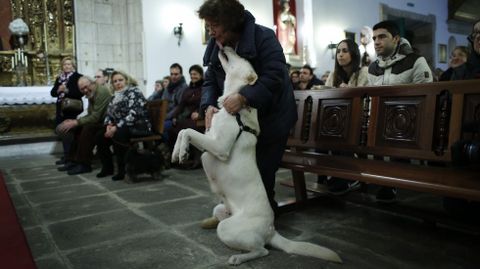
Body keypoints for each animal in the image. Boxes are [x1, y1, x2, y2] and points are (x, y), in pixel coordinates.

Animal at [172, 46, 342, 264]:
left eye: (241, 56)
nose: (226, 46)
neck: (234, 108)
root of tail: (271, 230)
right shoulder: (208, 140)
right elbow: (183, 132)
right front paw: (179, 151)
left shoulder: (219, 147)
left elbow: (188, 131)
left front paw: (182, 152)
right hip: (220, 210)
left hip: (227, 228)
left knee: (263, 250)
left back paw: (238, 258)